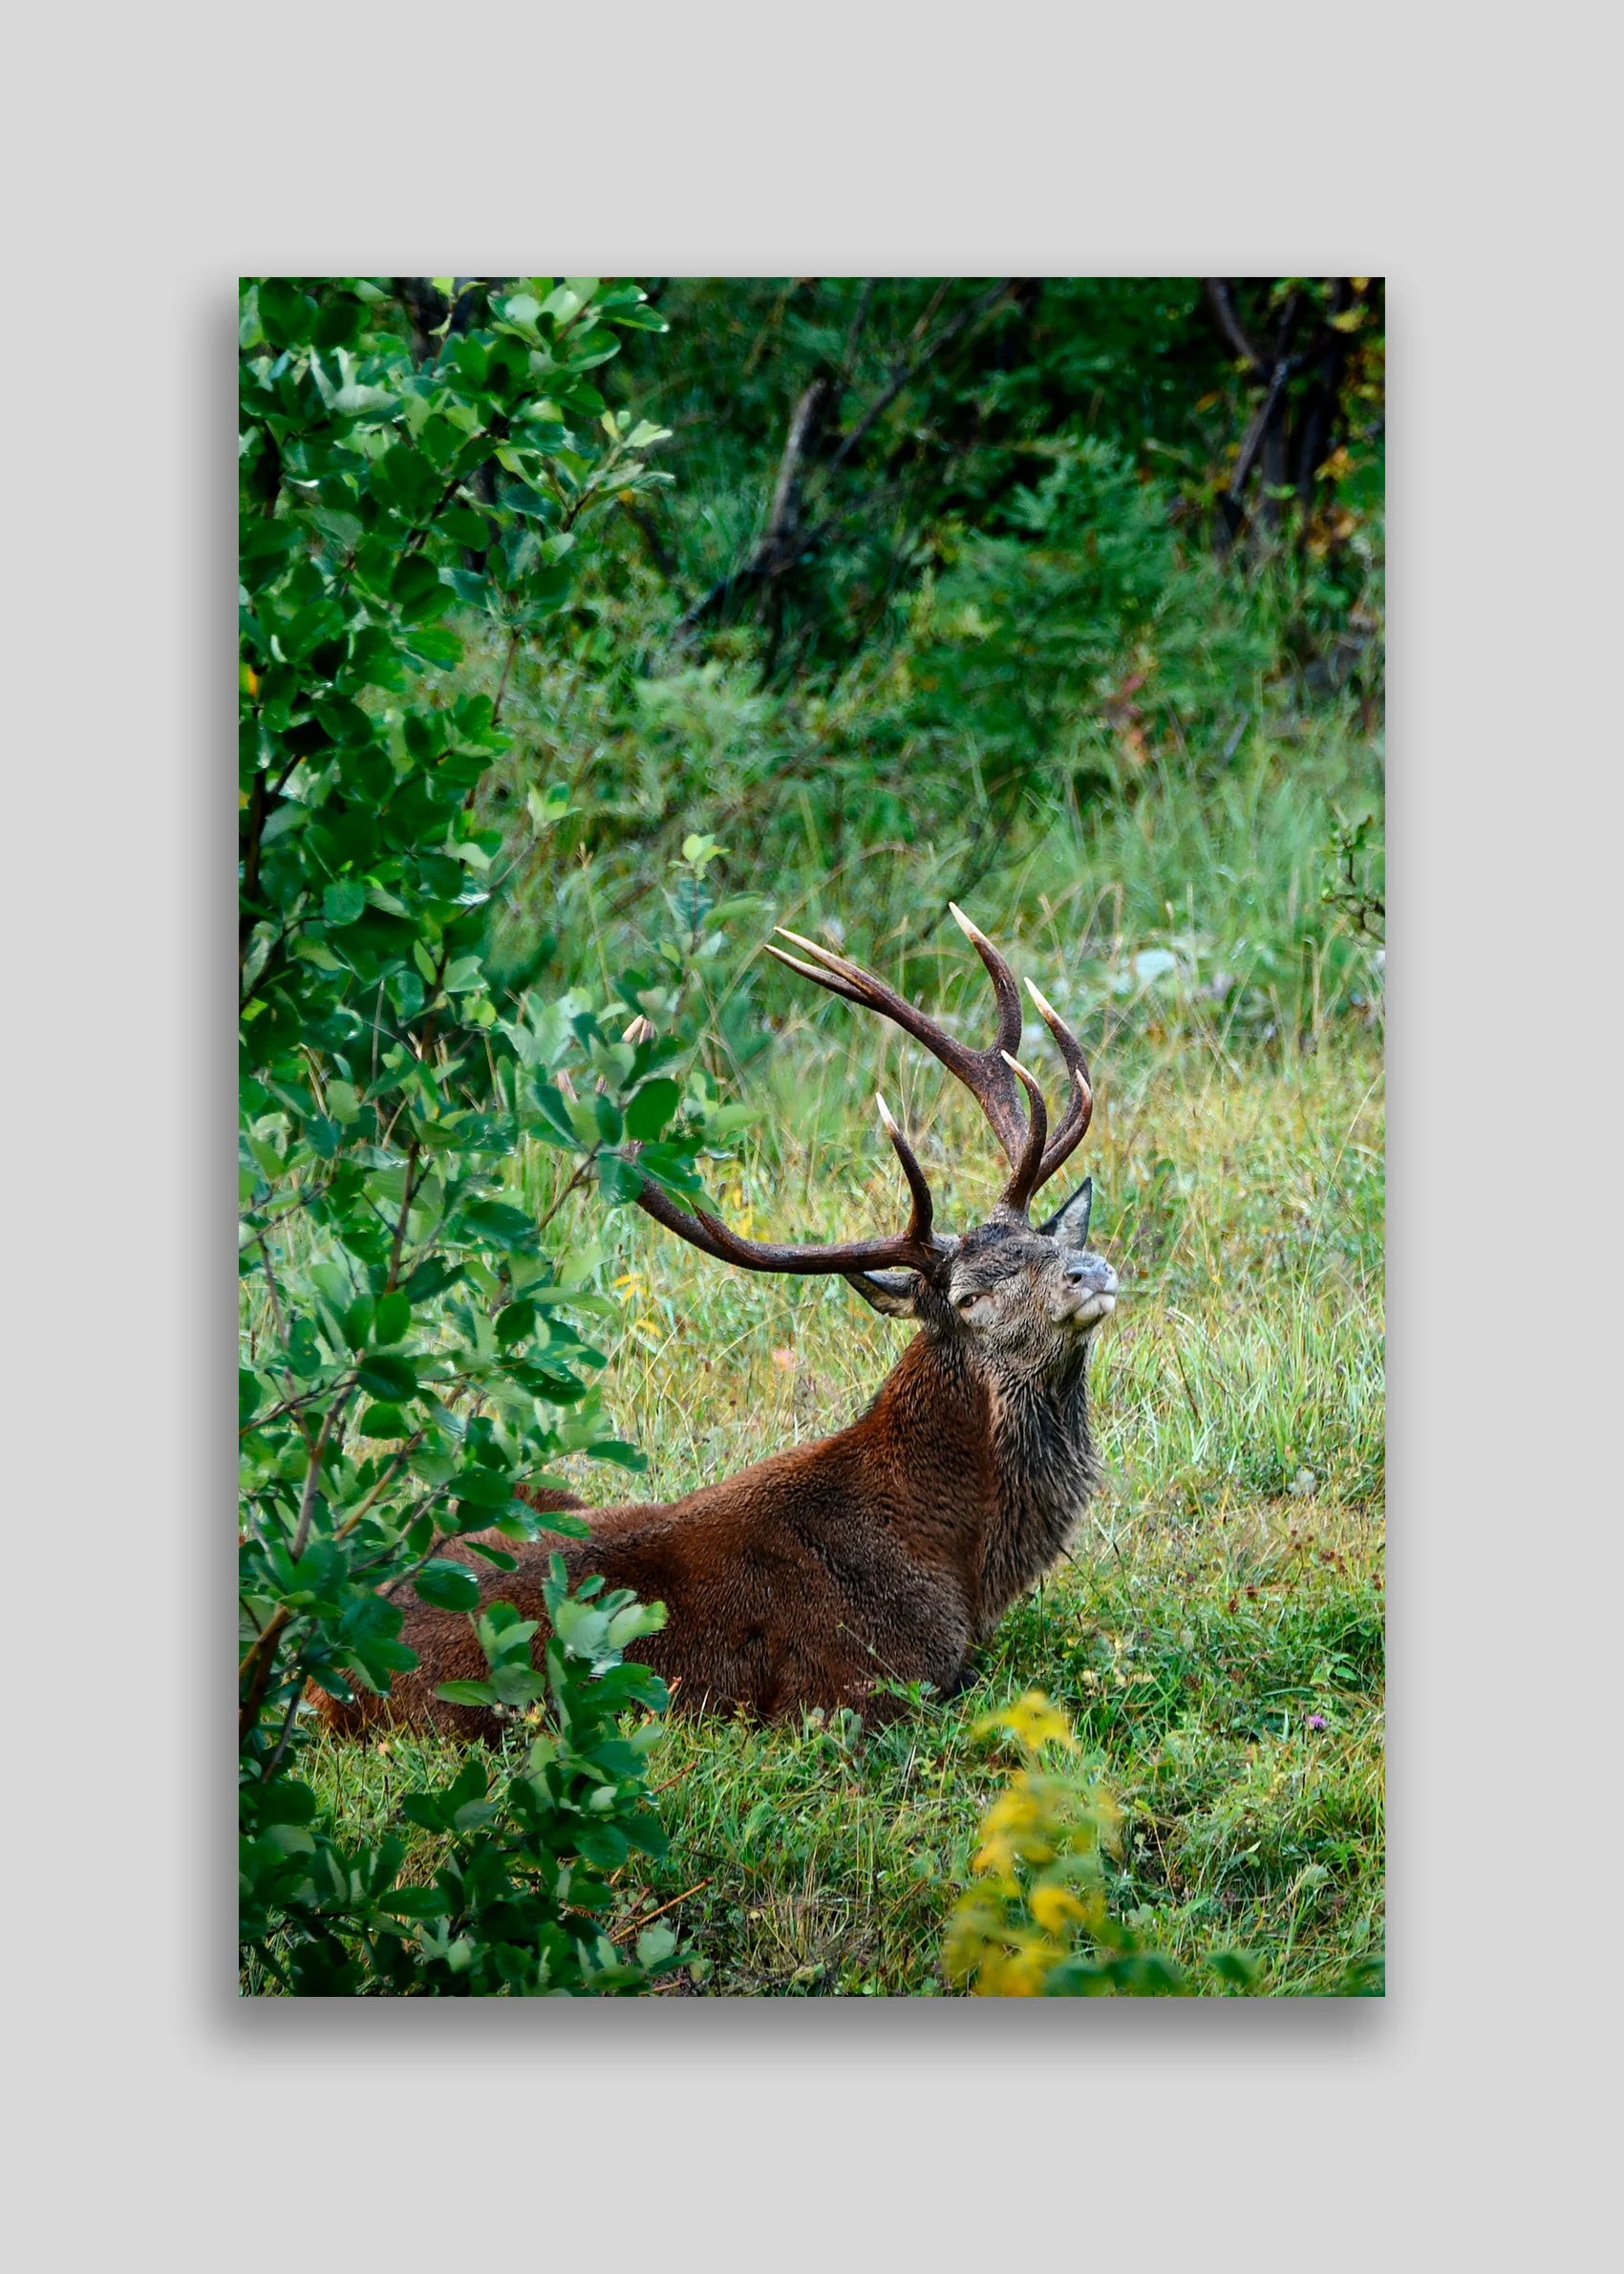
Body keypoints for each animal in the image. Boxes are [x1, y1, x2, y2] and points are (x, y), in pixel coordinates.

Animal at [319, 906, 1118, 1740]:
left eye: (1048, 1244)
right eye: (966, 1297)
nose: (1089, 1272)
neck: (954, 1558)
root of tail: (318, 1677)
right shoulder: (852, 1694)